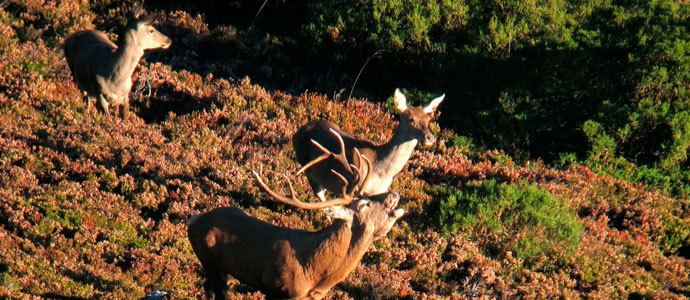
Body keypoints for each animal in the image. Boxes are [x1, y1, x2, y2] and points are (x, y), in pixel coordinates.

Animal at [185, 134, 406, 300]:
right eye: (364, 204)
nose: (394, 193)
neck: (315, 274)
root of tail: (194, 219)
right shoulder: (278, 290)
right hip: (209, 261)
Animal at [292, 88, 444, 202]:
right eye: (411, 119)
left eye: (428, 119)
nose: (430, 137)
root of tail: (298, 131)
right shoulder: (355, 188)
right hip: (307, 169)